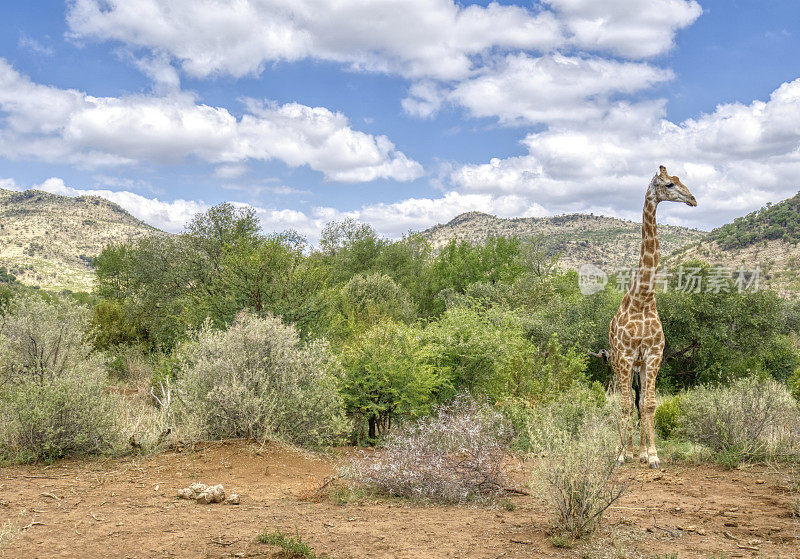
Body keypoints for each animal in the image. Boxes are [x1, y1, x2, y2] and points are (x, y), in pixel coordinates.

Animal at [608, 165, 696, 468]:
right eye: (669, 184)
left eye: (680, 180)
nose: (693, 199)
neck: (643, 299)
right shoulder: (624, 356)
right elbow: (624, 404)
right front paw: (620, 455)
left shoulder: (654, 354)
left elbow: (649, 404)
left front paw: (653, 455)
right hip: (616, 363)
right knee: (621, 402)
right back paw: (625, 450)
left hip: (639, 366)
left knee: (638, 400)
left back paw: (639, 451)